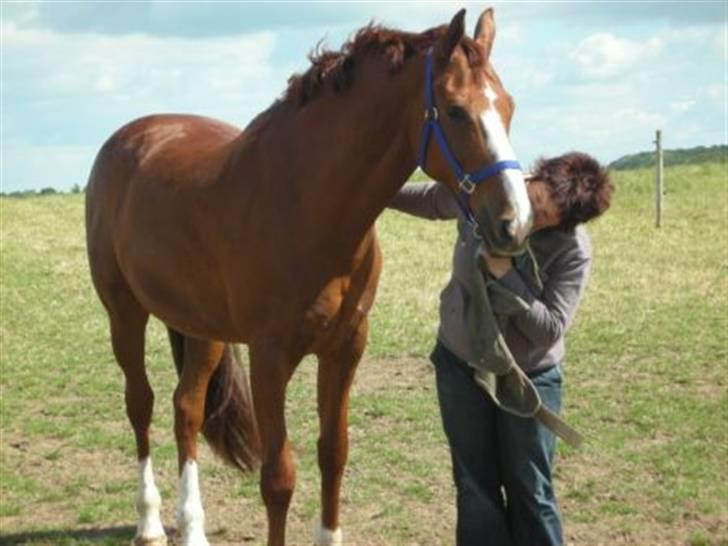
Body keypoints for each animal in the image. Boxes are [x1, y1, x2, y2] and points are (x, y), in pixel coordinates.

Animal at [85, 8, 532, 544]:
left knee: (186, 409)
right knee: (141, 403)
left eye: (508, 106)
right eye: (455, 110)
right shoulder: (270, 357)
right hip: (124, 313)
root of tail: (130, 138)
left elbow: (333, 454)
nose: (514, 223)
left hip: (202, 330)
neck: (306, 203)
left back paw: (191, 527)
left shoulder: (345, 348)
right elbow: (278, 476)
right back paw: (150, 522)